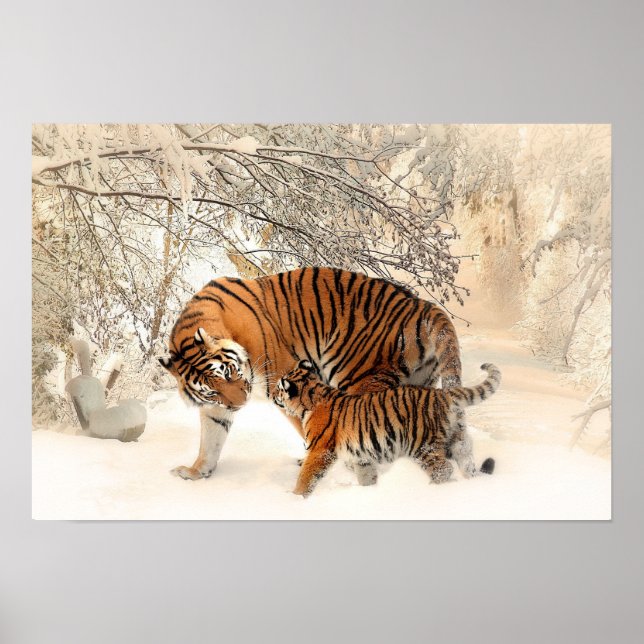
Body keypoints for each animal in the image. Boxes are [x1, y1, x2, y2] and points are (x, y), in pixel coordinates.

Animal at [159, 267, 473, 483]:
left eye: (228, 372)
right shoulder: (216, 407)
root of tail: (422, 306)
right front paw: (196, 472)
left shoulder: (284, 381)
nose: (240, 404)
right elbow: (210, 440)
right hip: (418, 385)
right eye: (212, 390)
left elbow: (311, 428)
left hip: (360, 379)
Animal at [273, 360, 501, 497]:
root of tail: (443, 394)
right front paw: (369, 492)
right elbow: (366, 475)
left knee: (443, 469)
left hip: (422, 445)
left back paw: (430, 491)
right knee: (467, 463)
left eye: (278, 388)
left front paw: (295, 498)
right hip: (458, 440)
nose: (273, 395)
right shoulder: (361, 456)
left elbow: (306, 476)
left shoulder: (319, 450)